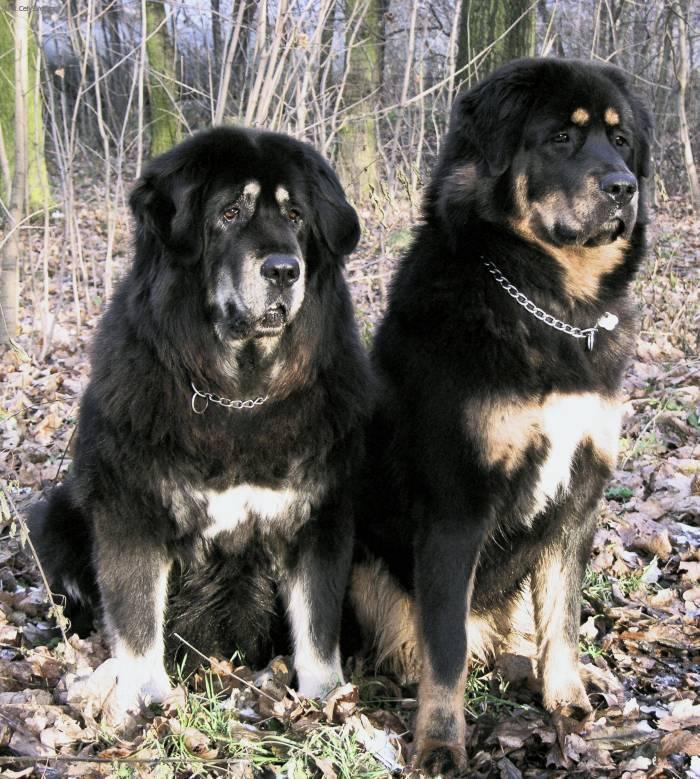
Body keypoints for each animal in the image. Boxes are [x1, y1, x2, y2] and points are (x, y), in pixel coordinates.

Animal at [31, 129, 372, 724]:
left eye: (296, 217)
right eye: (230, 213)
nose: (284, 269)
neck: (237, 394)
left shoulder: (320, 519)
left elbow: (317, 625)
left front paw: (326, 702)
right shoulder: (131, 510)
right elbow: (138, 621)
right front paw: (147, 704)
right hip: (53, 517)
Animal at [352, 56, 652, 772]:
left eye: (620, 140)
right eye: (562, 138)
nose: (624, 187)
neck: (553, 307)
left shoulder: (579, 495)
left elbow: (562, 618)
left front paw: (567, 702)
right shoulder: (456, 504)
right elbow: (446, 649)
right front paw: (440, 741)